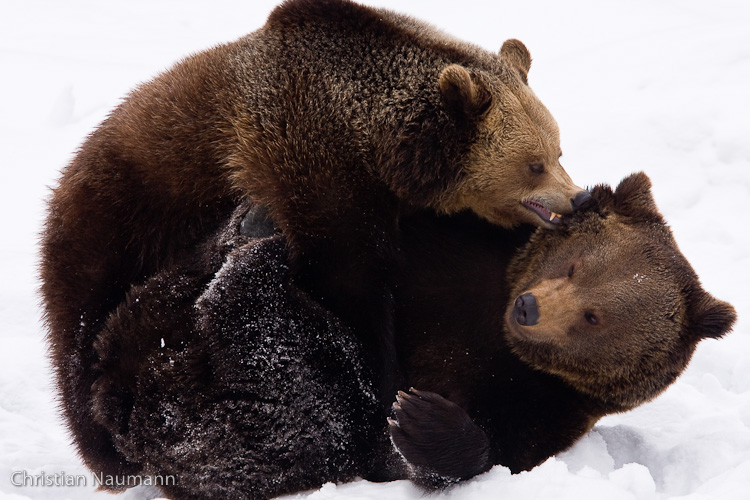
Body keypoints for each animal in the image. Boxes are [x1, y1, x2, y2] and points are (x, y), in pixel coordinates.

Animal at [39, 0, 588, 480]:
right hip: (118, 216)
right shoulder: (313, 164)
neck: (379, 145)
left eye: (559, 148)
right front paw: (380, 388)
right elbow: (349, 281)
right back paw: (109, 451)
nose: (576, 198)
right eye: (534, 163)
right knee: (80, 334)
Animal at [85, 172, 736, 500]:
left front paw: (419, 417)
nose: (528, 309)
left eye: (596, 317)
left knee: (301, 401)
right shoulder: (445, 243)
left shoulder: (542, 408)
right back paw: (256, 232)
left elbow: (471, 451)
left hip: (237, 419)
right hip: (149, 328)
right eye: (575, 265)